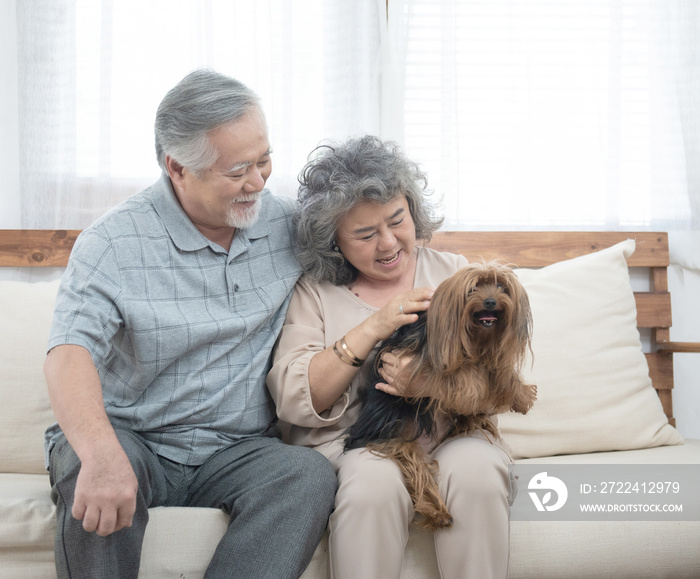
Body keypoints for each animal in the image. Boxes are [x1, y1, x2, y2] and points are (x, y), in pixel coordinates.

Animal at [344, 262, 536, 532]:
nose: (490, 301)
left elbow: (496, 365)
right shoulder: (421, 359)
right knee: (413, 463)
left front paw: (519, 394)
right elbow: (464, 371)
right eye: (473, 289)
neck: (477, 336)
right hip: (393, 435)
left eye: (501, 287)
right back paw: (437, 511)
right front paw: (475, 387)